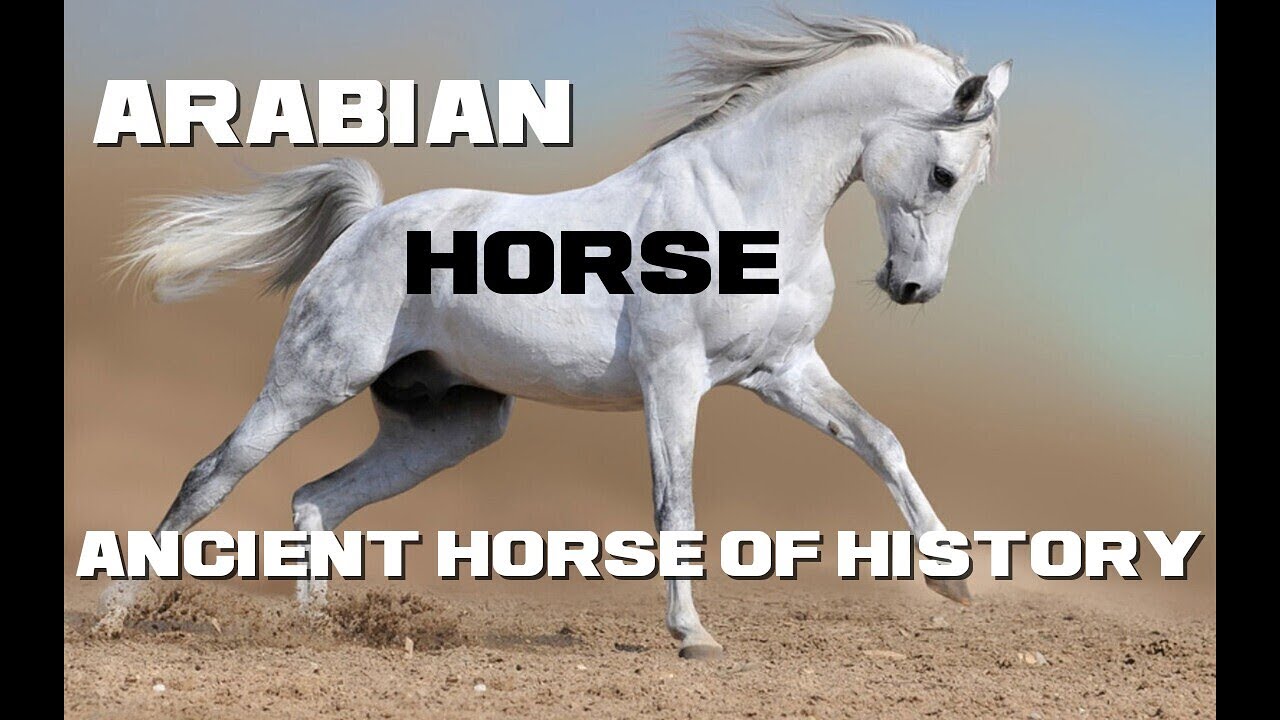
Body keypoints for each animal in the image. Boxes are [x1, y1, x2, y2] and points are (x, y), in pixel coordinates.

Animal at [100, 12, 1012, 658]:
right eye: (944, 174)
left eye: (973, 180)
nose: (914, 288)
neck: (740, 200)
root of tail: (365, 223)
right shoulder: (673, 379)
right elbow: (675, 503)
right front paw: (692, 636)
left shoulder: (782, 370)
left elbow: (881, 442)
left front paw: (955, 582)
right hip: (309, 380)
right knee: (211, 477)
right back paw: (114, 617)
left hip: (451, 426)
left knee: (316, 498)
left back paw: (320, 632)